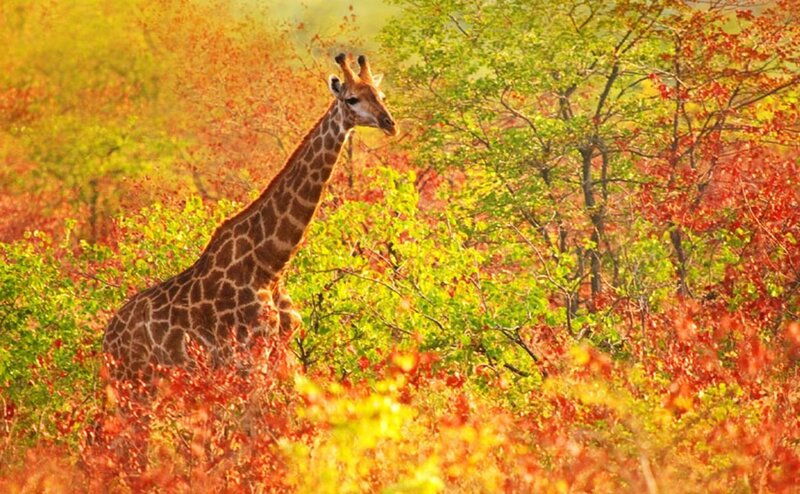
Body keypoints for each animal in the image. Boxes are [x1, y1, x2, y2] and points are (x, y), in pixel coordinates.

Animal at [102, 53, 397, 382]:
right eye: (351, 99)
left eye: (381, 96)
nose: (389, 123)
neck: (270, 266)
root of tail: (106, 340)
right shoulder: (247, 355)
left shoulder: (282, 354)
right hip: (134, 379)